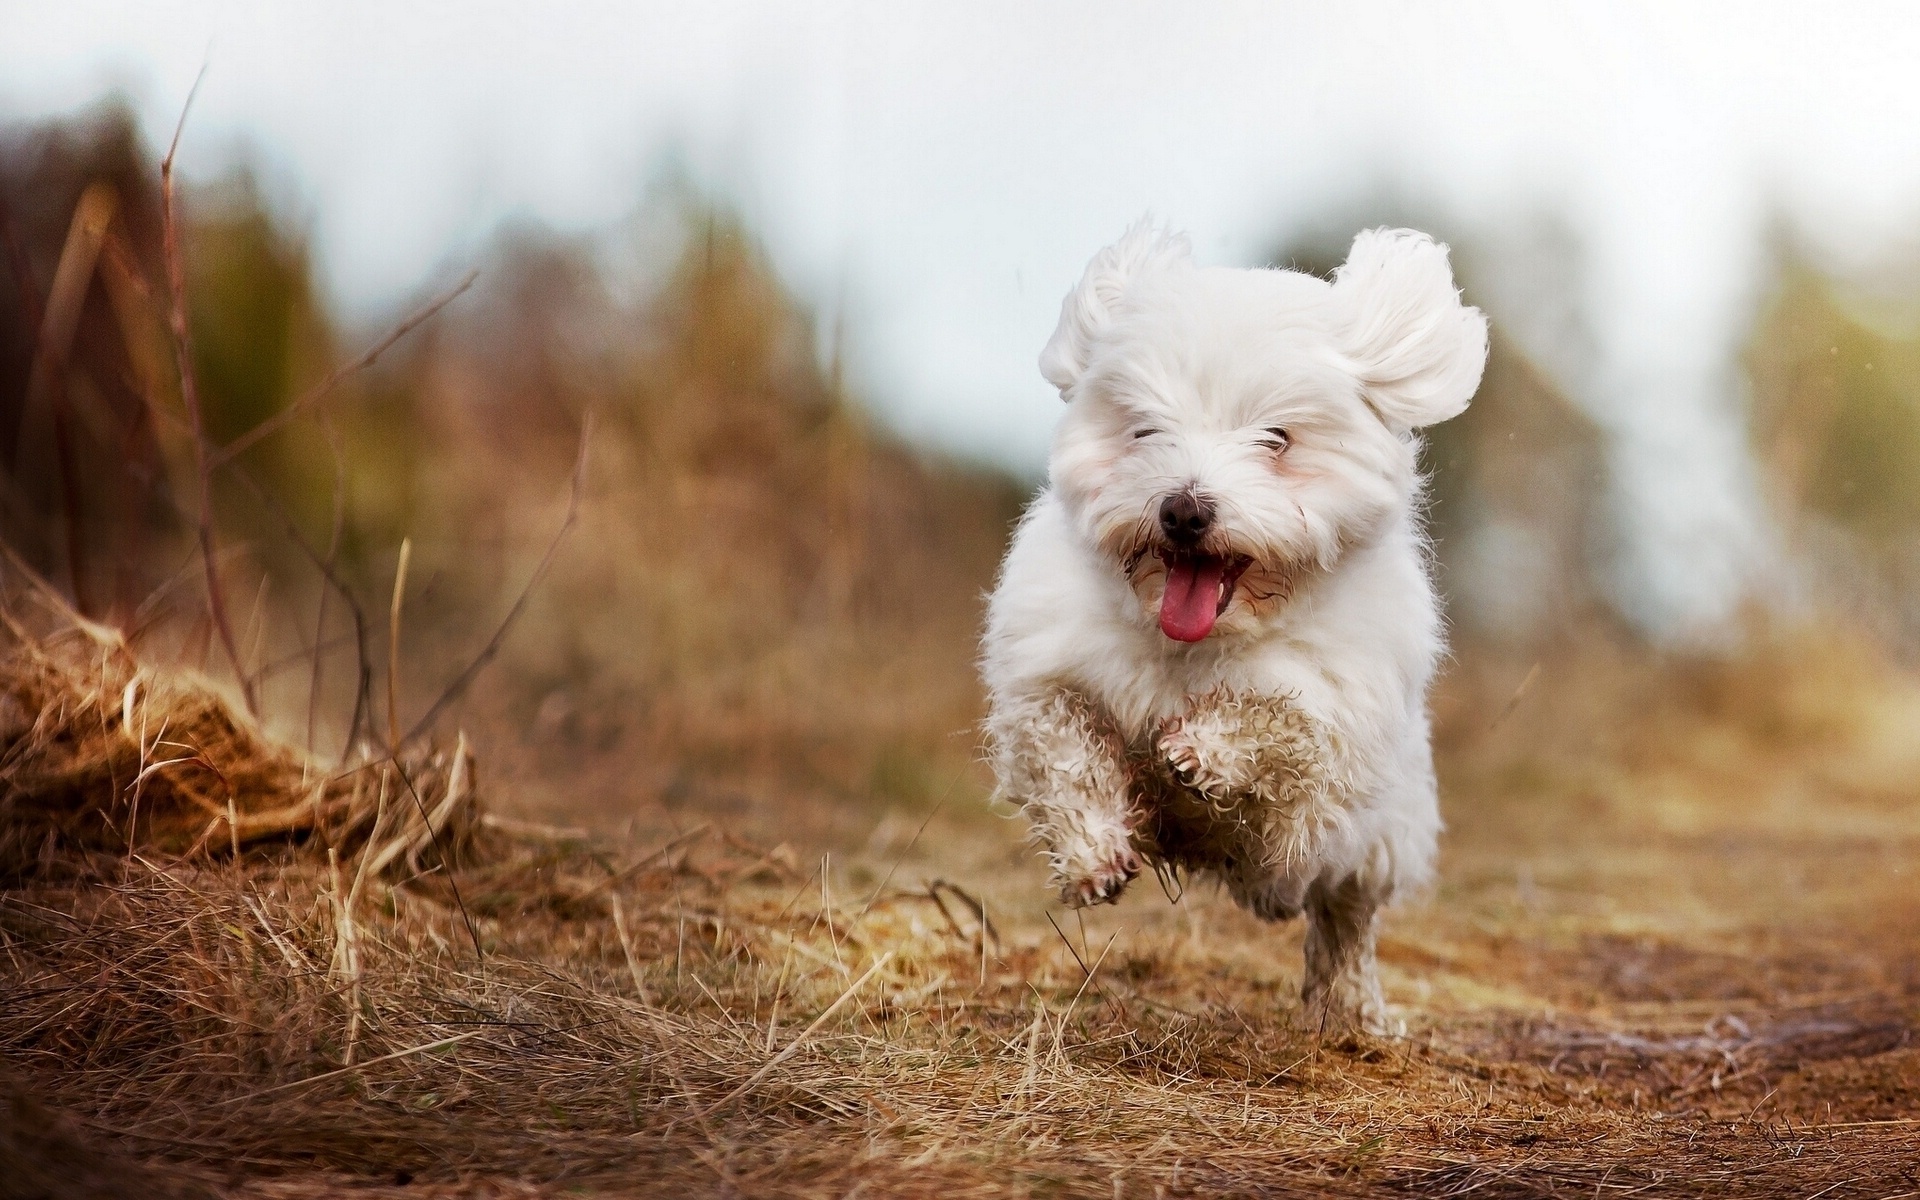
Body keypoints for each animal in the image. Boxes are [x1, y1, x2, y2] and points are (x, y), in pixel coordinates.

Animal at [983, 222, 1489, 1029]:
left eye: (1276, 438)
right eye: (1145, 429)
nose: (1184, 509)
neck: (1200, 643)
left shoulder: (1331, 723)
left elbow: (1281, 725)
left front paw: (1202, 754)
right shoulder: (1047, 672)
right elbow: (1064, 751)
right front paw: (1094, 854)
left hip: (1382, 837)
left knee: (1346, 922)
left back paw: (1354, 1012)